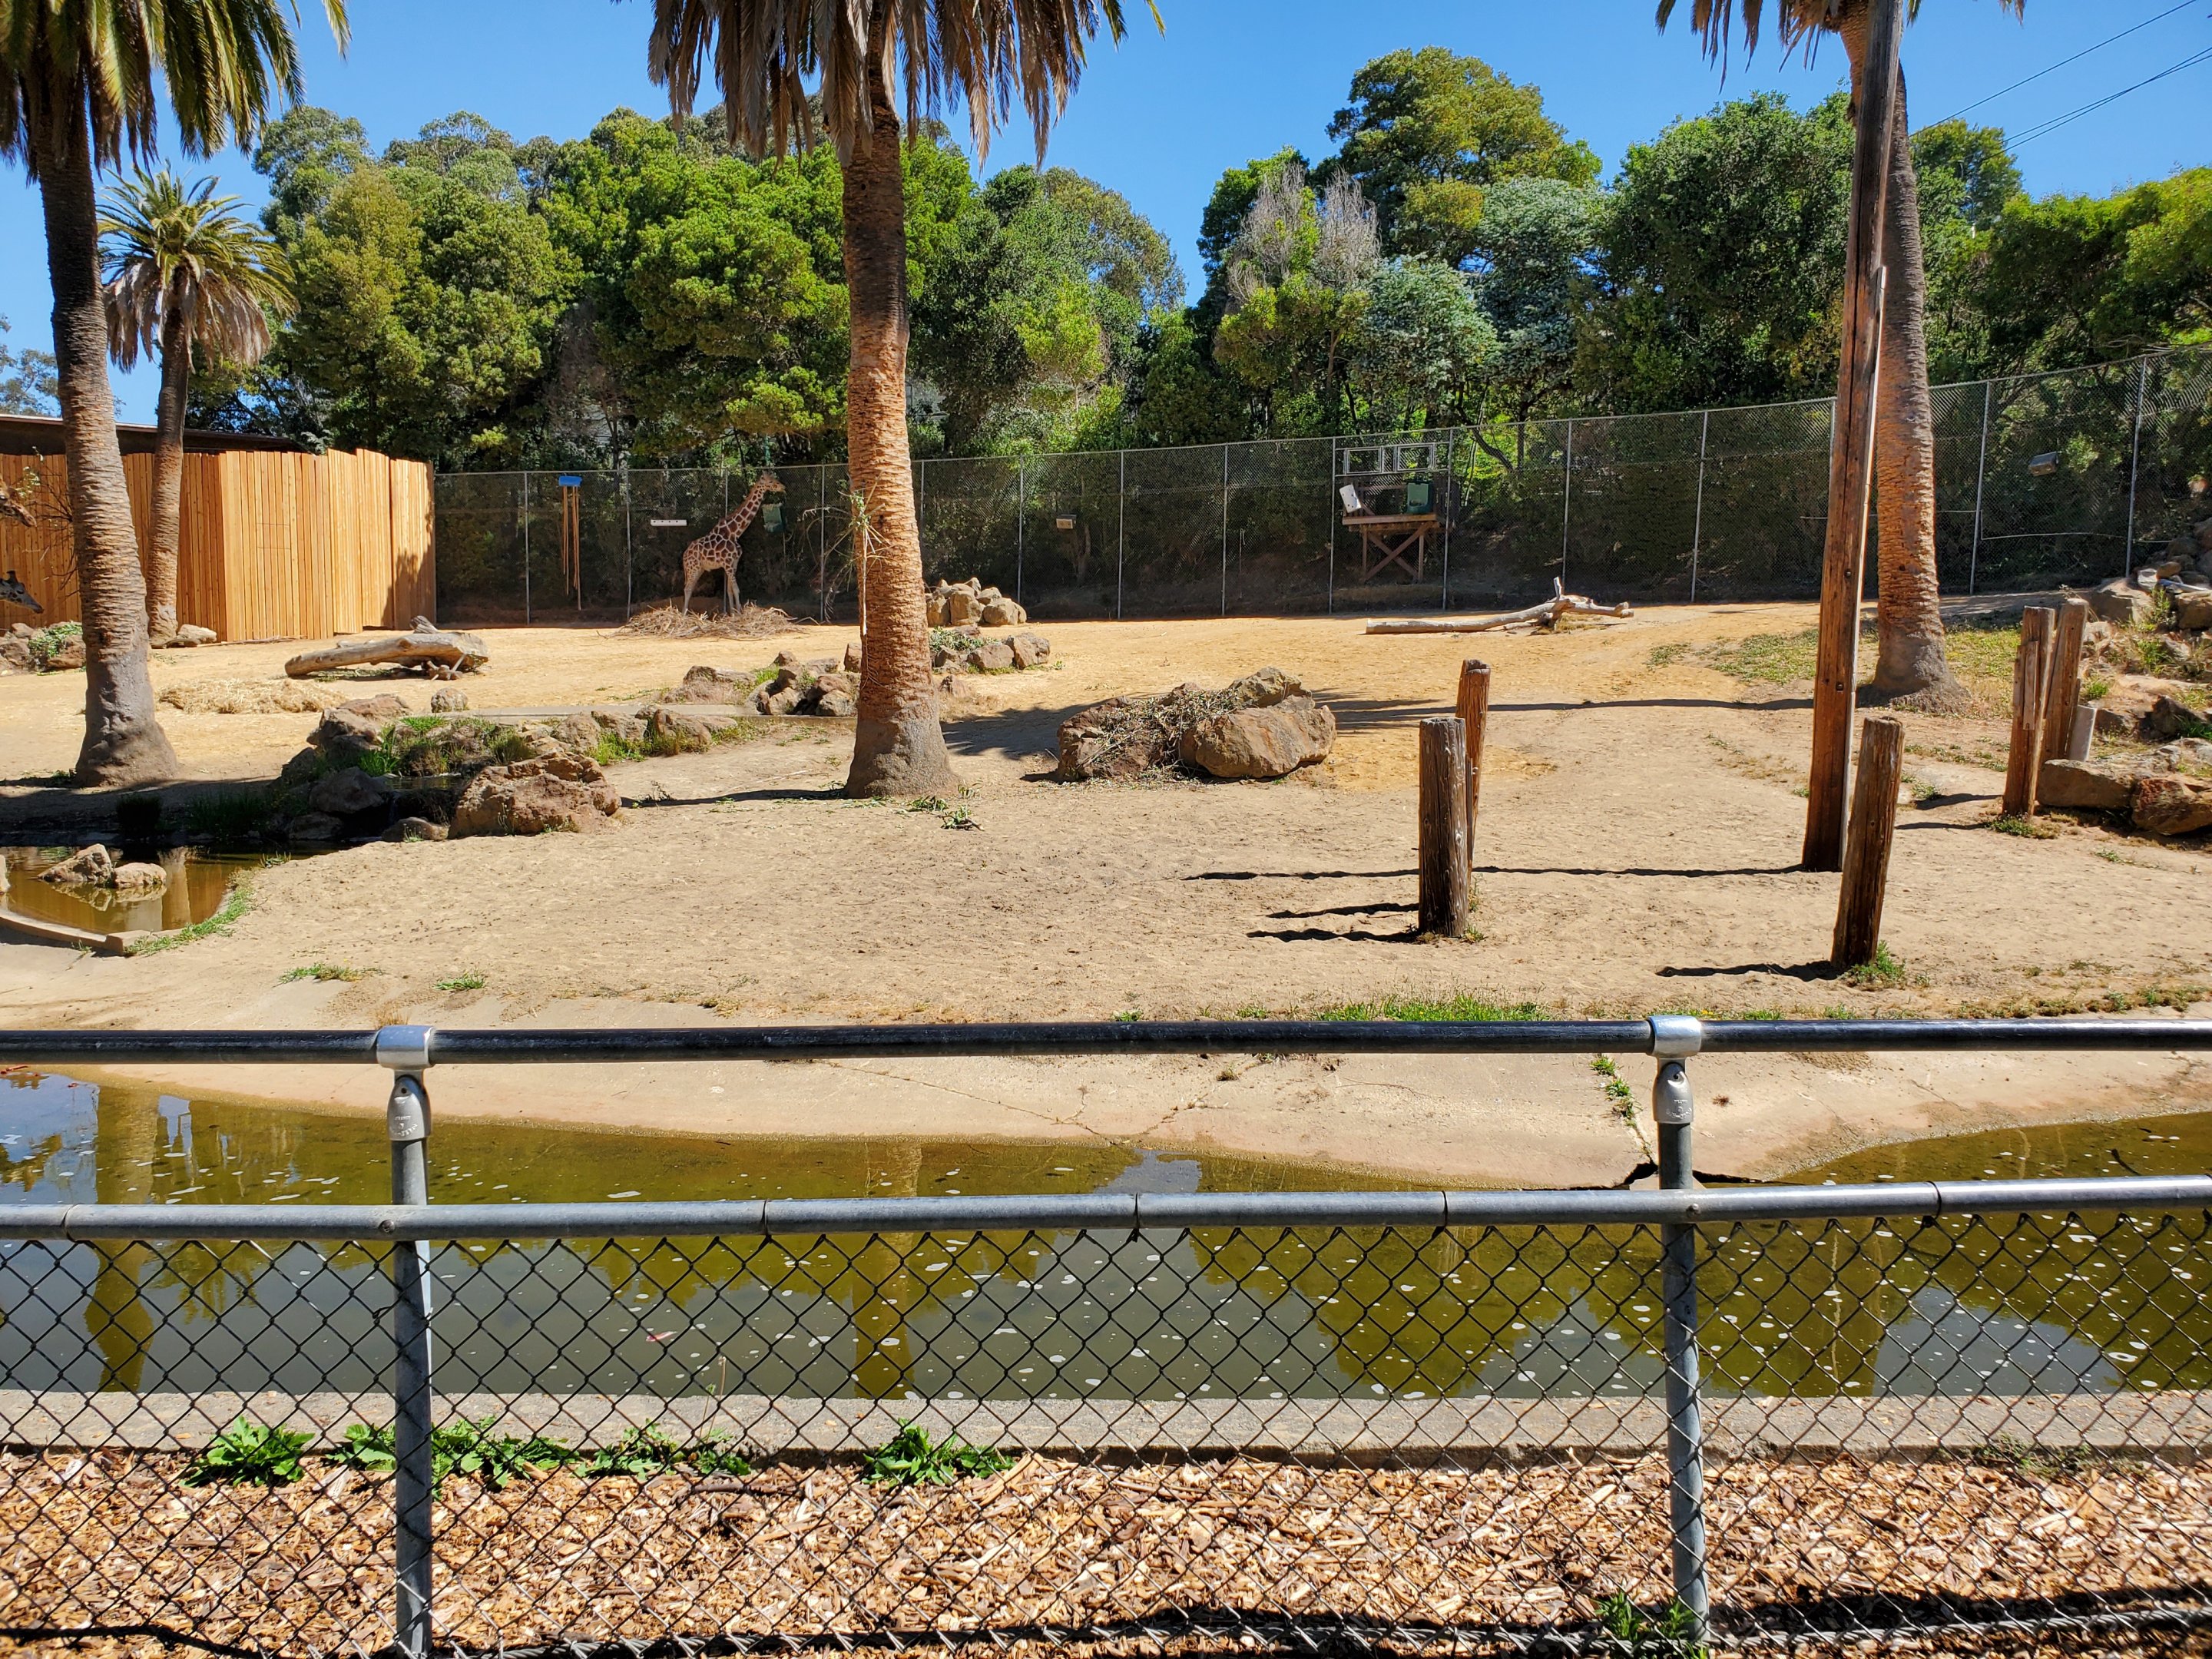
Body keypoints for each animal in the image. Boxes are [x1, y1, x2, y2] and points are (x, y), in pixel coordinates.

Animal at [681, 473, 785, 614]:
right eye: (770, 481)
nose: (783, 487)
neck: (734, 532)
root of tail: (684, 556)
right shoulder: (728, 564)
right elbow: (736, 589)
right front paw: (740, 614)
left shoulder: (733, 563)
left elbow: (730, 590)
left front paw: (733, 613)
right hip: (693, 568)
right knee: (687, 589)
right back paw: (683, 615)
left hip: (700, 569)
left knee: (690, 588)